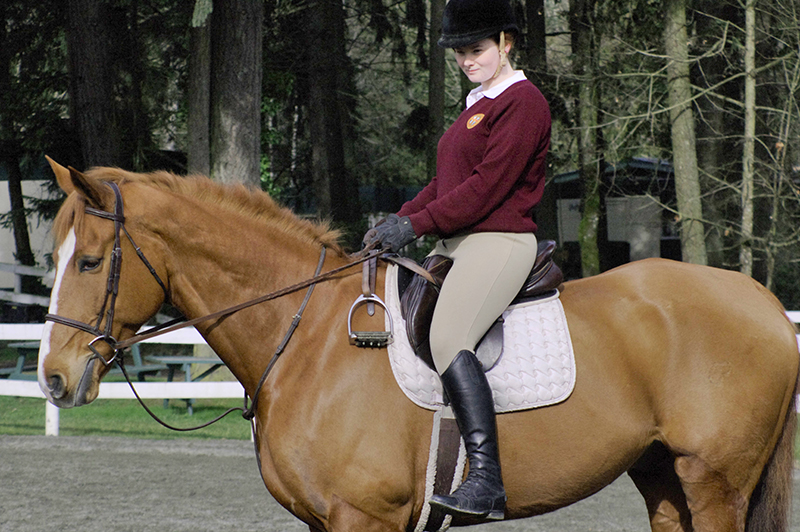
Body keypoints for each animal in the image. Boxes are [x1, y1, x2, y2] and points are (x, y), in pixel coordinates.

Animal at [38, 158, 798, 532]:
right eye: (53, 255)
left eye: (89, 261)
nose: (53, 378)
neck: (305, 337)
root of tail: (763, 302)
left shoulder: (363, 518)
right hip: (663, 478)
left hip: (716, 483)